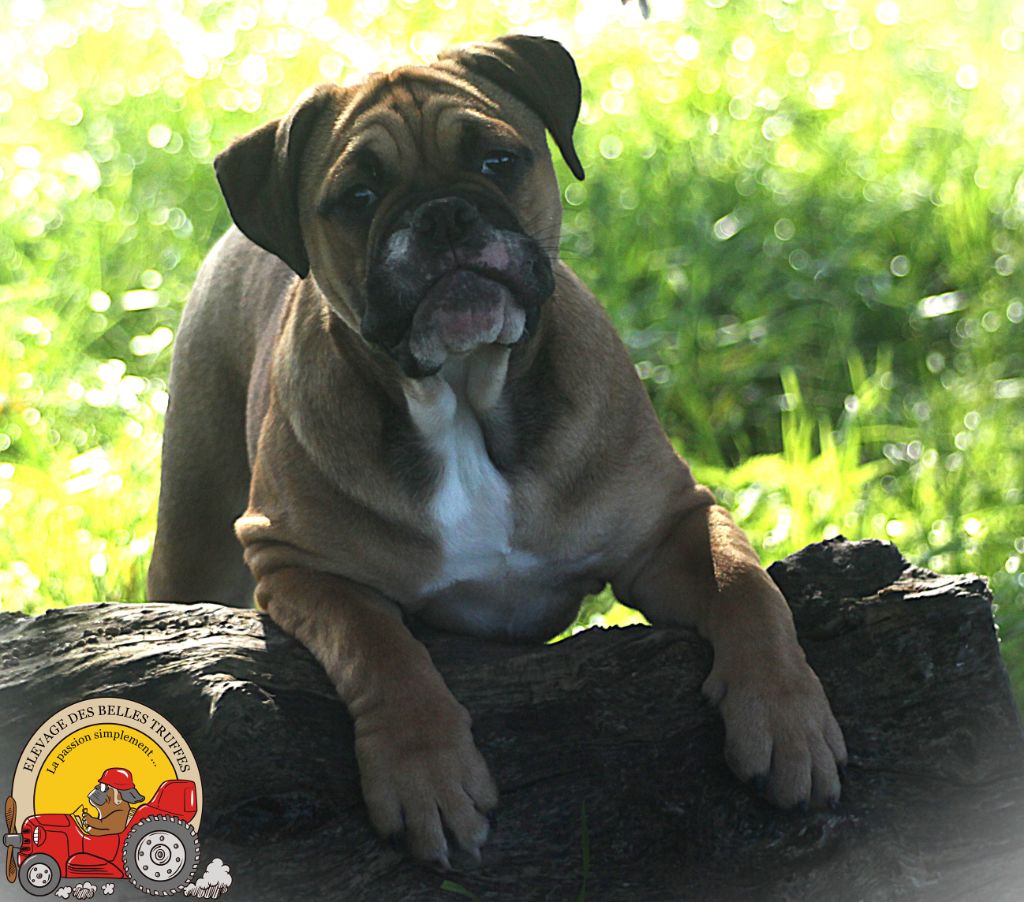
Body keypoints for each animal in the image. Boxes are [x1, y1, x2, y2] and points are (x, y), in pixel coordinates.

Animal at [148, 34, 846, 868]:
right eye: (357, 196)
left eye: (497, 161)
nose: (444, 215)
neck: (463, 401)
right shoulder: (297, 563)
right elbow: (377, 643)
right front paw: (426, 772)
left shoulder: (670, 525)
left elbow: (745, 586)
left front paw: (787, 719)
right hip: (194, 535)